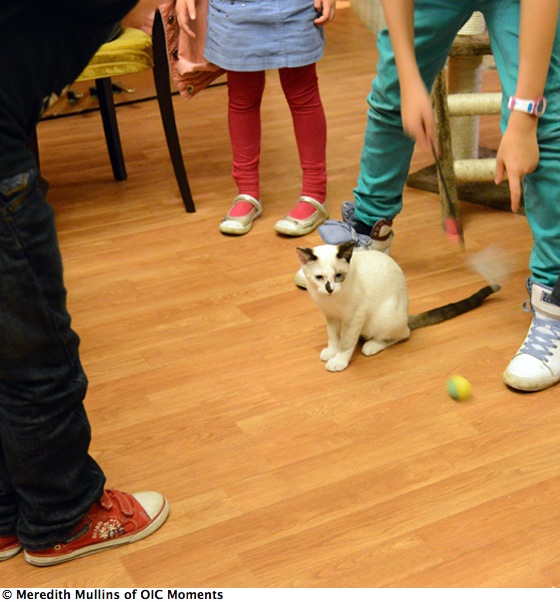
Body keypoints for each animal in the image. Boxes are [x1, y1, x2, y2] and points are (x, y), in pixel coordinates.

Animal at [298, 241, 498, 368]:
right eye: (319, 278)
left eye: (338, 276)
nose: (330, 289)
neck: (331, 301)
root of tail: (405, 314)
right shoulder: (331, 316)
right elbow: (333, 336)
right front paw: (332, 351)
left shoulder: (356, 315)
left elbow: (346, 341)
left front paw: (339, 360)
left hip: (383, 317)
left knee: (403, 334)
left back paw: (371, 345)